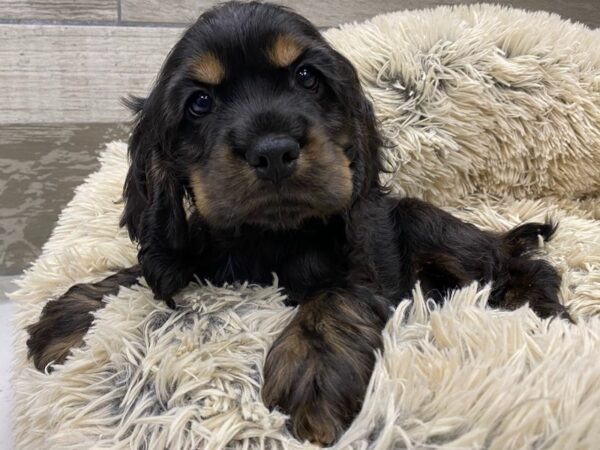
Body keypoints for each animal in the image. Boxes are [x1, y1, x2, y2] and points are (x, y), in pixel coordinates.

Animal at [25, 1, 568, 446]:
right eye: (200, 102)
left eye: (308, 77)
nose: (273, 151)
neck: (274, 237)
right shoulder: (201, 255)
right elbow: (143, 272)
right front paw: (71, 315)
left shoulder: (369, 250)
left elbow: (339, 291)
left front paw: (314, 363)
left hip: (432, 227)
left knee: (521, 263)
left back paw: (538, 313)